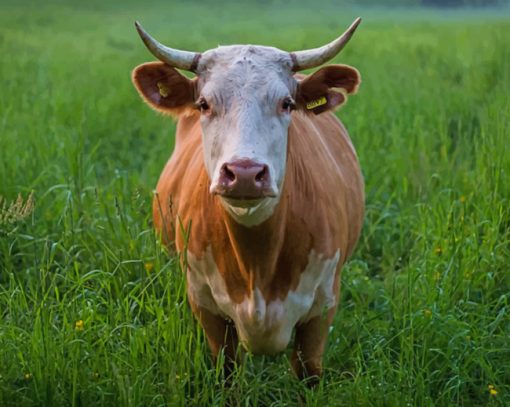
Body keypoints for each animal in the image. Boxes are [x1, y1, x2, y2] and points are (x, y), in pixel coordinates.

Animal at [130, 16, 362, 386]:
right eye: (204, 104)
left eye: (287, 103)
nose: (244, 173)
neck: (258, 263)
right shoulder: (206, 307)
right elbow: (226, 372)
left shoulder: (322, 310)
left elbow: (308, 374)